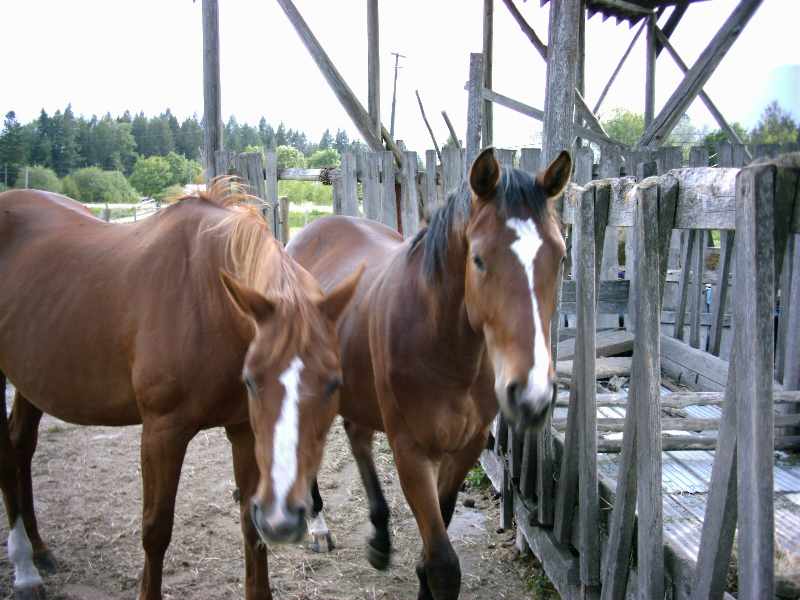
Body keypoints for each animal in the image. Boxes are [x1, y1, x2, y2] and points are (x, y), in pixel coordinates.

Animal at [0, 179, 363, 600]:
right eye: (252, 380)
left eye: (333, 383)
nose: (284, 519)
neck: (206, 298)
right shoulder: (162, 433)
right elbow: (156, 529)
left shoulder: (244, 431)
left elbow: (249, 525)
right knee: (8, 455)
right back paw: (25, 570)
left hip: (32, 378)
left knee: (21, 445)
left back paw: (39, 551)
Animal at [287, 148, 571, 599]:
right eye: (478, 259)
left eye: (560, 257)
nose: (533, 394)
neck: (445, 349)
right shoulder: (411, 452)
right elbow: (442, 564)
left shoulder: (465, 448)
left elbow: (434, 547)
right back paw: (316, 523)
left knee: (358, 437)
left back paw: (380, 536)